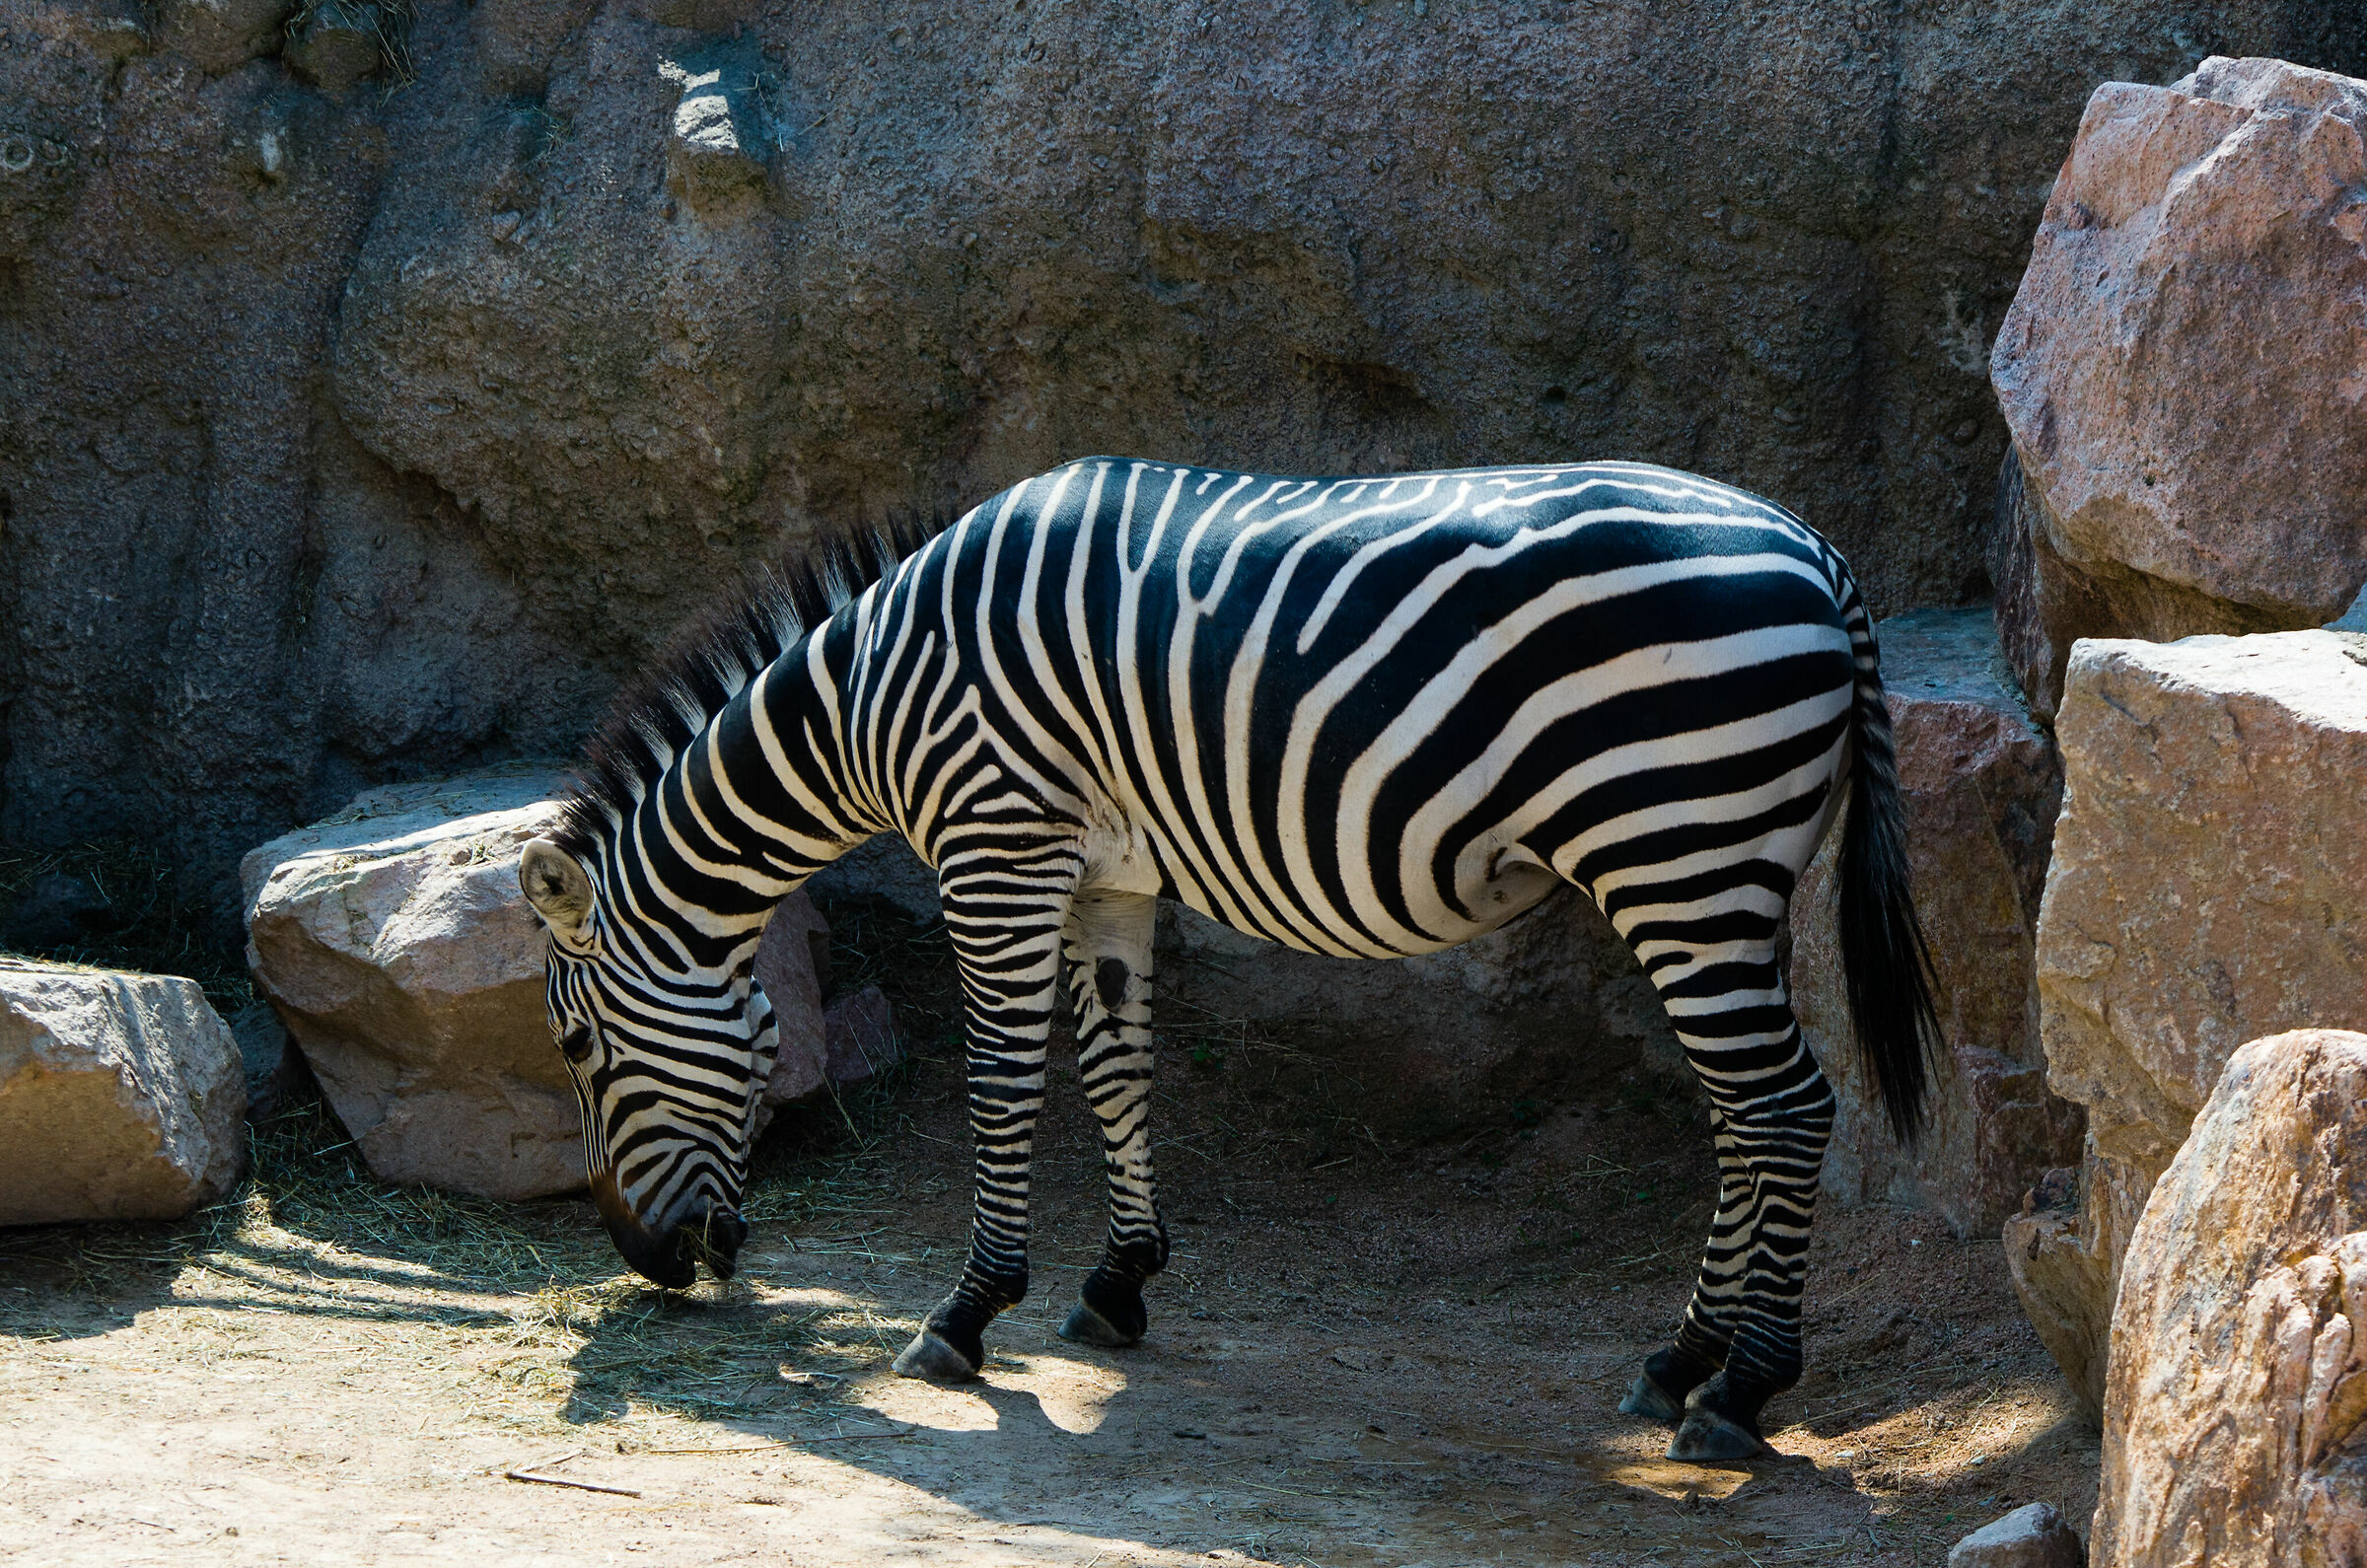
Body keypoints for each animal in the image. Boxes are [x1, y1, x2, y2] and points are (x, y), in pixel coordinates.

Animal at [517, 456, 1937, 1464]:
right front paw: (1118, 1283)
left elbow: (1003, 1084)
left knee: (1784, 1104)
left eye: (578, 1047)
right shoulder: (1107, 875)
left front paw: (966, 1313)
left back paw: (1743, 1387)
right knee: (1746, 1111)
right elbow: (1117, 1069)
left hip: (1681, 846)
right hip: (1722, 872)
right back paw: (1678, 1360)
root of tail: (1818, 555)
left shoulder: (995, 844)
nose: (645, 1262)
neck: (871, 691)